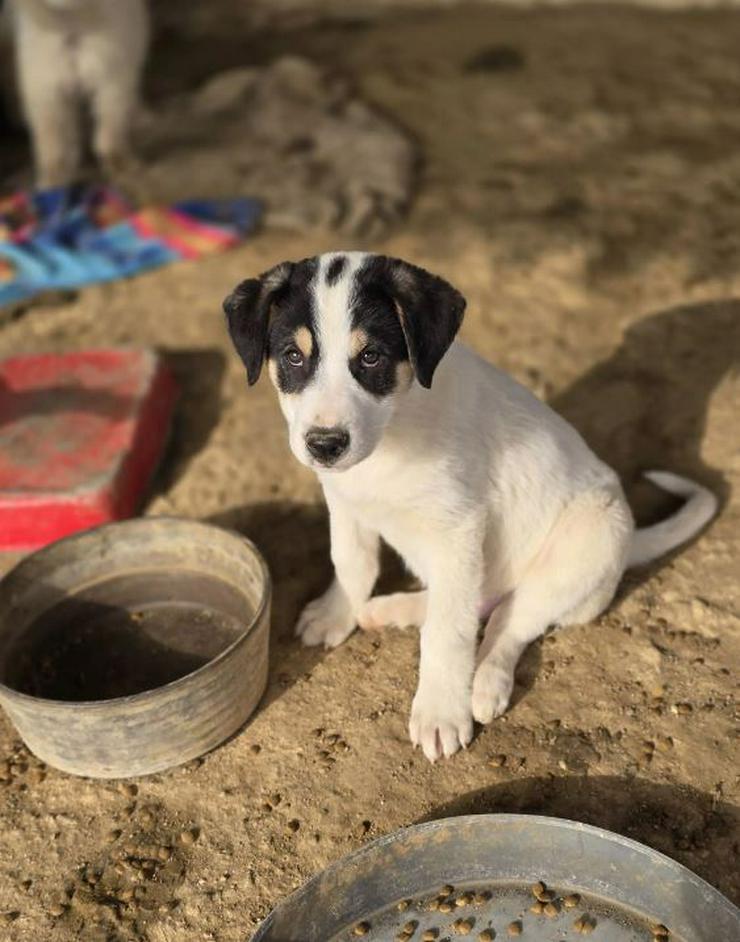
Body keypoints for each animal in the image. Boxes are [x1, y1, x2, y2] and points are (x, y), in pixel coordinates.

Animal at [4, 0, 149, 188]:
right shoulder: (46, 92)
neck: (72, 26)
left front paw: (121, 167)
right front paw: (54, 180)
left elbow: (110, 134)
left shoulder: (112, 81)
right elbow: (54, 144)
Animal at [224, 254, 716, 764]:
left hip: (589, 539)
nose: (324, 445)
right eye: (293, 356)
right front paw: (336, 612)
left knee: (509, 618)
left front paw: (440, 712)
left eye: (371, 357)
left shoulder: (456, 529)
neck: (394, 427)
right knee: (478, 601)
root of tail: (629, 541)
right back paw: (389, 609)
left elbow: (448, 633)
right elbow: (352, 563)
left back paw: (484, 684)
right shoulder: (345, 503)